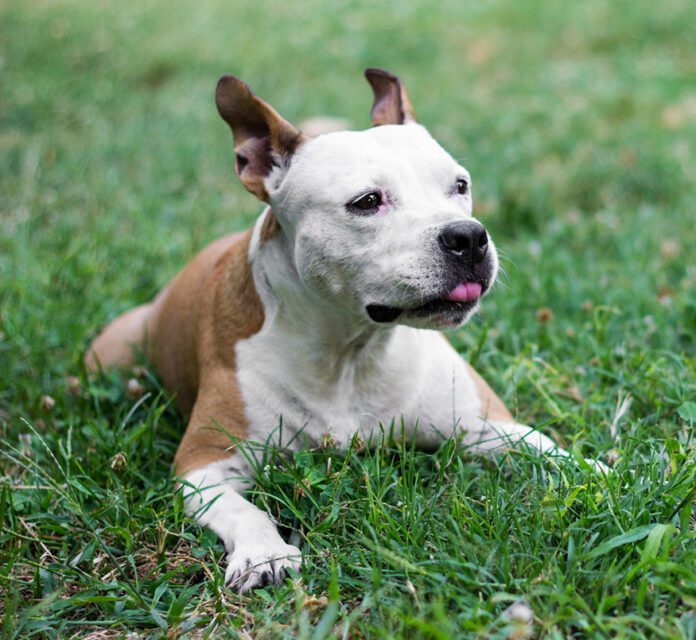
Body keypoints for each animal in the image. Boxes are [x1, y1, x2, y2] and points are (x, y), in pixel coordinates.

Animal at [85, 67, 588, 592]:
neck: (353, 349)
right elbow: (245, 511)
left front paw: (601, 474)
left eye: (459, 185)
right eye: (367, 202)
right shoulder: (204, 464)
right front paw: (264, 553)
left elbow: (554, 454)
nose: (468, 235)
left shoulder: (486, 426)